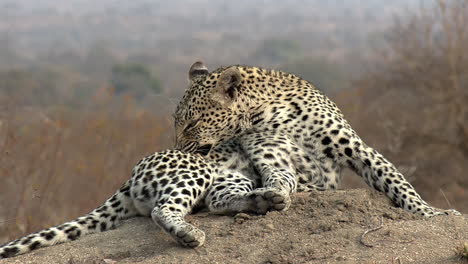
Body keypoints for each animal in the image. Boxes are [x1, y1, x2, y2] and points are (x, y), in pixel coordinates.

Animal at [175, 61, 460, 219]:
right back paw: (263, 200)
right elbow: (281, 176)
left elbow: (396, 181)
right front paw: (277, 191)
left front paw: (431, 212)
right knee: (216, 200)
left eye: (192, 124)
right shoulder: (269, 153)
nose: (179, 149)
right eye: (175, 122)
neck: (264, 110)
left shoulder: (355, 147)